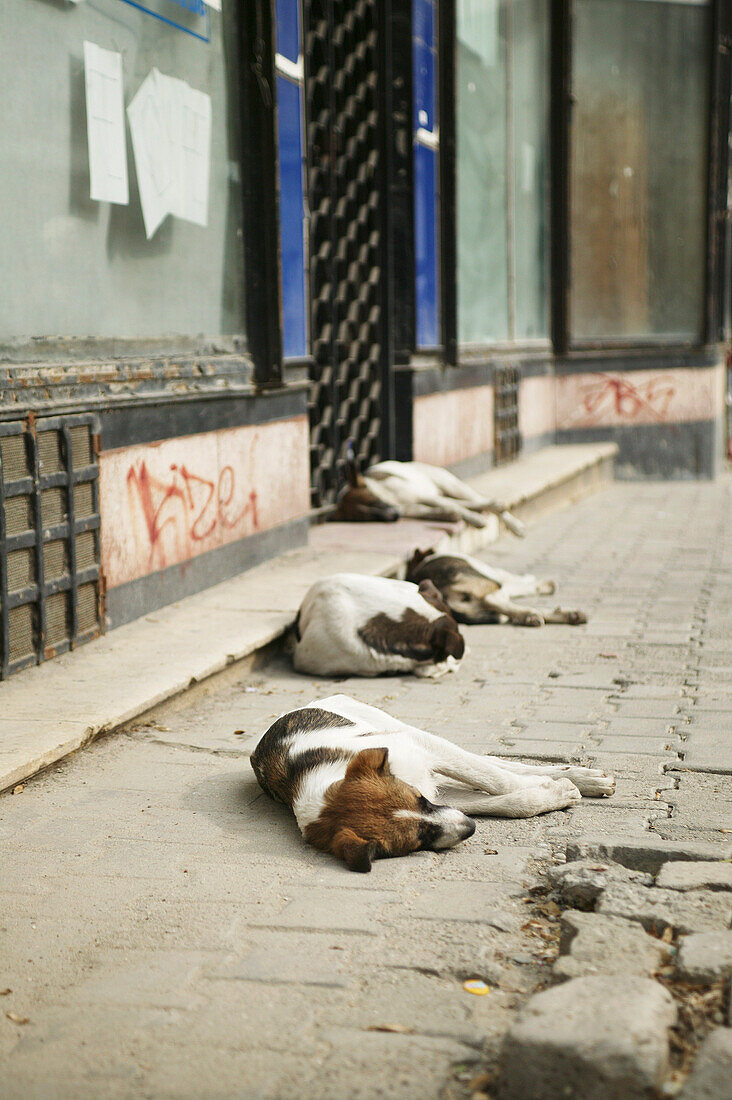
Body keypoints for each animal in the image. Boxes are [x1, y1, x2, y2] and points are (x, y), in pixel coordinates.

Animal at [248, 695, 612, 866]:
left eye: (419, 801)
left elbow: (496, 779)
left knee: (491, 763)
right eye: (421, 838)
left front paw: (559, 788)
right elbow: (508, 800)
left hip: (399, 728)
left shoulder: (427, 759)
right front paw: (554, 794)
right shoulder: (443, 799)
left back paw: (582, 777)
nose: (471, 829)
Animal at [334, 457, 521, 539]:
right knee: (465, 503)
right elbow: (439, 511)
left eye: (373, 501)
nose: (395, 516)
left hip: (449, 485)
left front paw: (473, 518)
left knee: (474, 500)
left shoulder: (421, 497)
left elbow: (453, 506)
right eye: (366, 517)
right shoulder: (415, 508)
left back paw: (513, 523)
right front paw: (448, 515)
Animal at [405, 547, 590, 629]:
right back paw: (533, 614)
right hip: (491, 584)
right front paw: (541, 583)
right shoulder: (498, 577)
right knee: (494, 599)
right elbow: (523, 583)